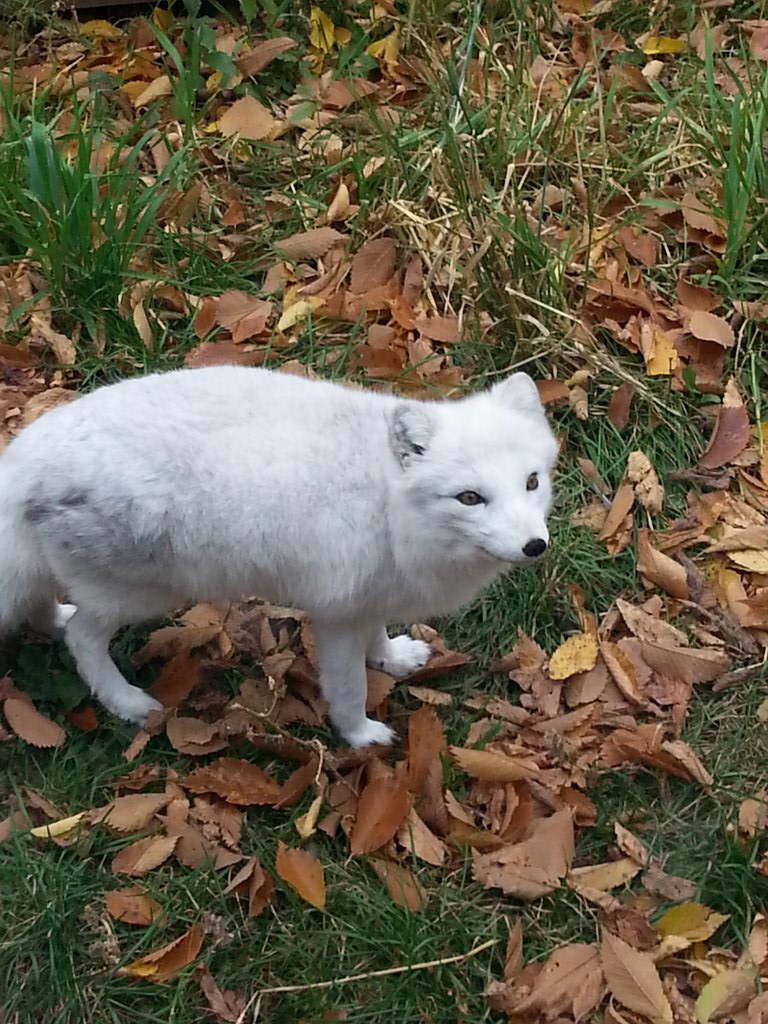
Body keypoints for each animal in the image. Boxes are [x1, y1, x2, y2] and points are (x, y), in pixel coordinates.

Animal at [0, 365, 557, 747]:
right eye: (470, 497)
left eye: (532, 481)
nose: (536, 547)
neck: (387, 502)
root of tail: (22, 460)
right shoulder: (335, 615)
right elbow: (349, 686)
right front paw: (360, 736)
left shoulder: (369, 597)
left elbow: (377, 636)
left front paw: (393, 658)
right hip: (141, 593)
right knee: (82, 639)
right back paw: (129, 703)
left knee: (43, 606)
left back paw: (56, 621)